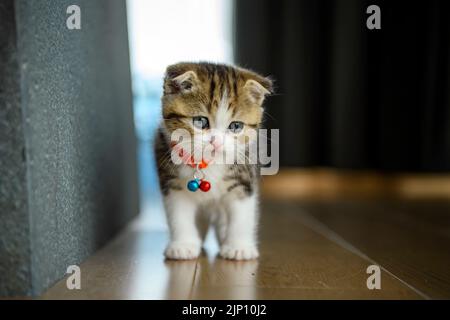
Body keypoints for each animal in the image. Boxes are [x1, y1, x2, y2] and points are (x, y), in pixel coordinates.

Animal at [155, 62, 272, 260]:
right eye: (200, 121)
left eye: (236, 126)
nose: (216, 142)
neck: (209, 164)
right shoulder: (172, 183)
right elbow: (178, 214)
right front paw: (183, 245)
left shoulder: (244, 178)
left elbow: (242, 215)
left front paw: (238, 247)